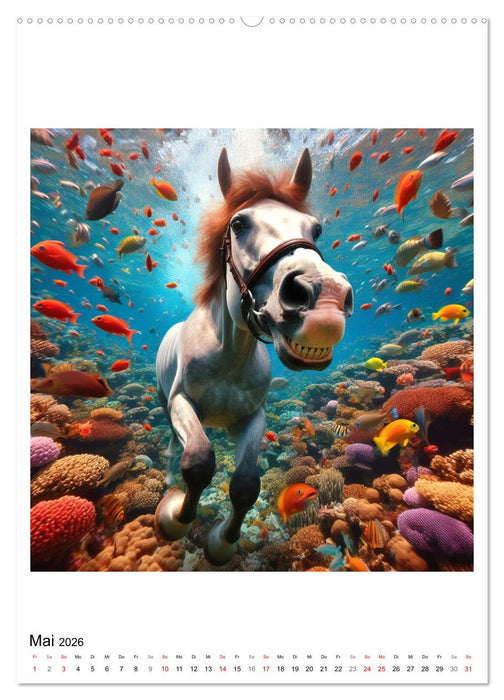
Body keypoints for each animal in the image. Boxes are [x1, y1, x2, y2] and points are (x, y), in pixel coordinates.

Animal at [155, 147, 353, 565]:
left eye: (316, 229)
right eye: (239, 223)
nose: (324, 300)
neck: (230, 356)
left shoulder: (253, 417)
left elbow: (246, 483)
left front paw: (221, 543)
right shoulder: (182, 402)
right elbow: (198, 459)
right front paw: (177, 517)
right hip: (165, 403)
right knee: (172, 445)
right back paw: (166, 479)